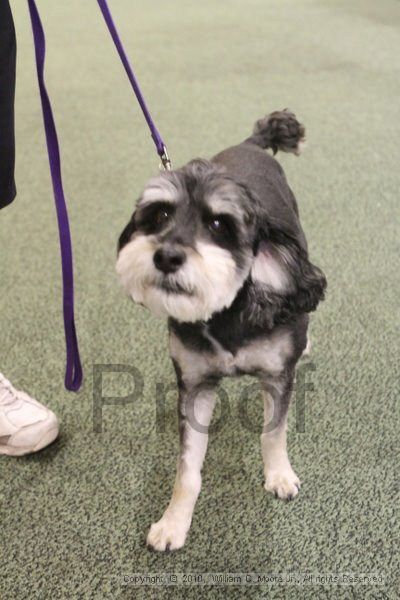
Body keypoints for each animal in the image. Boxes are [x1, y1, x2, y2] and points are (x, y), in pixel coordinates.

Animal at [115, 110, 324, 552]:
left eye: (217, 224)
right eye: (159, 215)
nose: (166, 256)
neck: (225, 312)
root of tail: (250, 143)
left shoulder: (278, 378)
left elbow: (273, 433)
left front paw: (279, 475)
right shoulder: (196, 385)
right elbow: (187, 468)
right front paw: (173, 522)